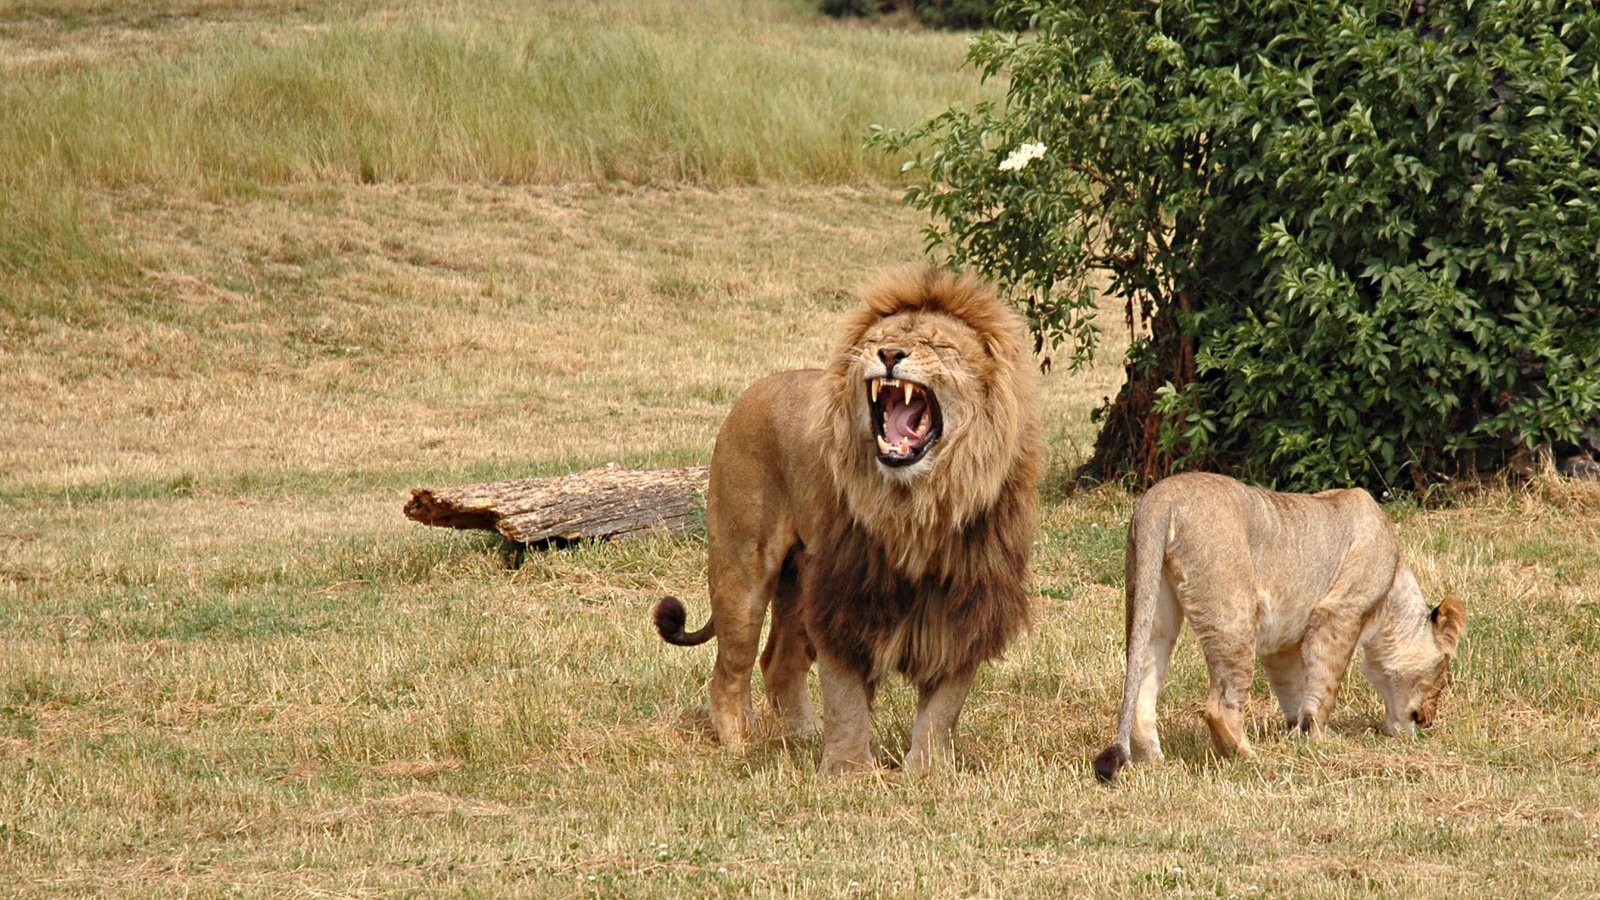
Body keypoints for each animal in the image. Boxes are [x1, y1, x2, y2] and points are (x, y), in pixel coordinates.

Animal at [652, 265, 1043, 771]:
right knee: (729, 671)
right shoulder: (845, 596)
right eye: (879, 338)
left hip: (797, 581)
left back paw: (802, 735)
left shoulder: (966, 604)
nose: (890, 354)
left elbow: (943, 707)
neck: (919, 505)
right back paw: (740, 745)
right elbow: (846, 700)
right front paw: (846, 772)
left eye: (937, 344)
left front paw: (927, 773)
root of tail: (756, 388)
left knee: (779, 664)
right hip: (741, 569)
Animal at [1094, 470, 1465, 778]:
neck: (1393, 590)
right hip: (1235, 613)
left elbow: (1294, 688)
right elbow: (1324, 685)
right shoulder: (1340, 612)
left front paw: (1299, 732)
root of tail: (1161, 497)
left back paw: (1155, 761)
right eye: (1443, 678)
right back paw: (1248, 758)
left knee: (1142, 681)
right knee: (1219, 706)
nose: (1429, 722)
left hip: (1151, 601)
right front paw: (1321, 740)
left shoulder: (1282, 640)